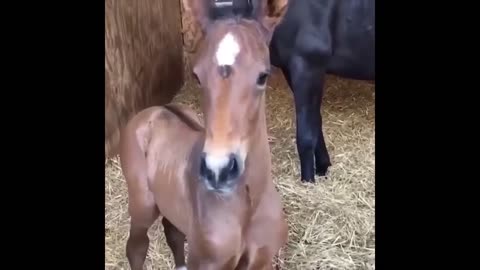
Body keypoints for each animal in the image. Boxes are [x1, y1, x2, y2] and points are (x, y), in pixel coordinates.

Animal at [119, 1, 292, 268]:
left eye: (263, 76)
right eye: (197, 77)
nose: (218, 171)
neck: (248, 208)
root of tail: (155, 108)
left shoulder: (262, 259)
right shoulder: (208, 262)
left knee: (173, 231)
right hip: (142, 204)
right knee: (136, 247)